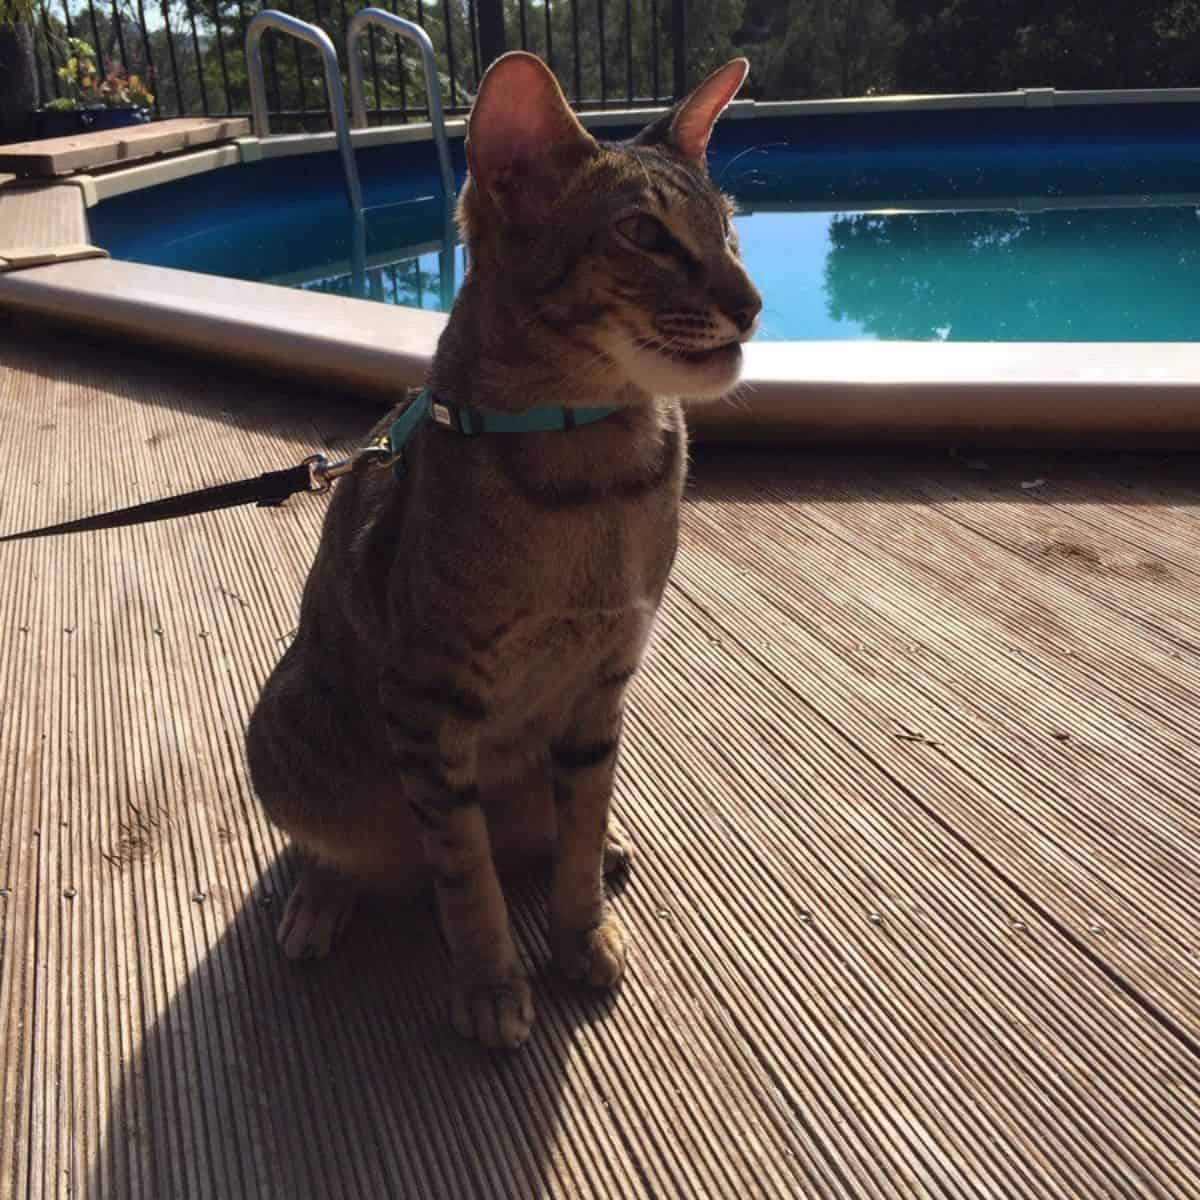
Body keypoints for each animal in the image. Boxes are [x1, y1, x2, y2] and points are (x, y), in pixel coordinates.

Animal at [246, 49, 758, 1051]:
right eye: (643, 234)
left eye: (728, 232)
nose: (751, 304)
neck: (594, 472)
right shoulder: (426, 701)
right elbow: (465, 872)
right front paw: (489, 982)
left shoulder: (603, 682)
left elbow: (577, 824)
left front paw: (581, 929)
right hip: (288, 715)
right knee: (338, 845)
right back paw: (324, 895)